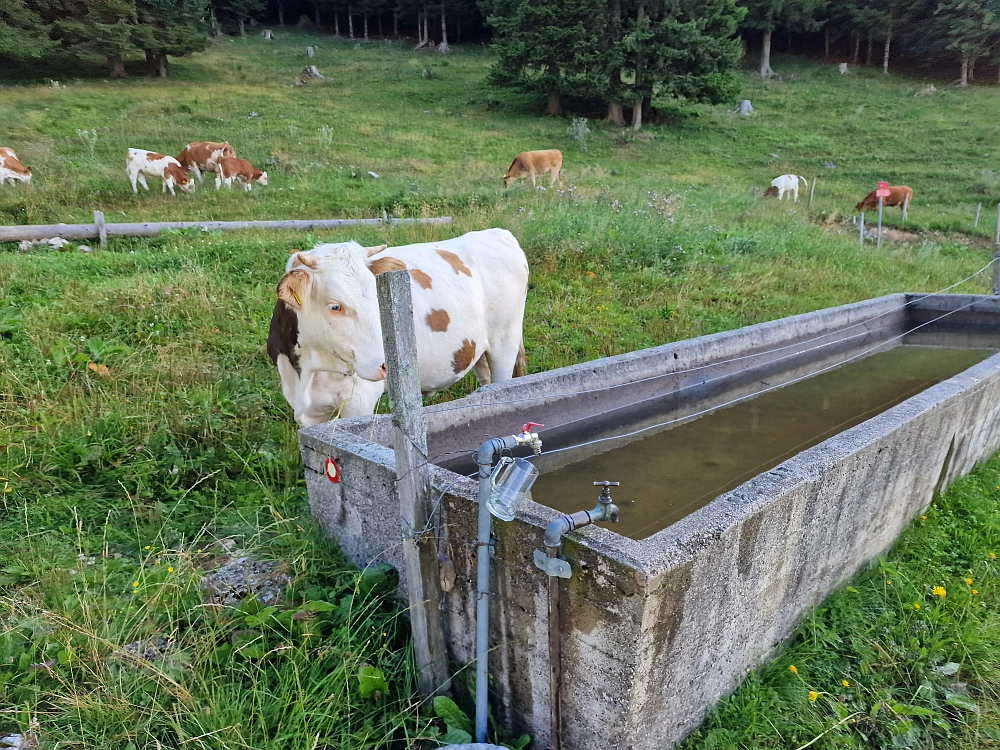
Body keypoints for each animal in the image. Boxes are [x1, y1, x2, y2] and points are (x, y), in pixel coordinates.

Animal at [270, 229, 528, 426]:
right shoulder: (306, 410)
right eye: (335, 306)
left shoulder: (360, 401)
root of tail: (497, 232)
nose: (387, 364)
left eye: (380, 296)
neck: (310, 372)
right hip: (480, 351)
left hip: (505, 343)